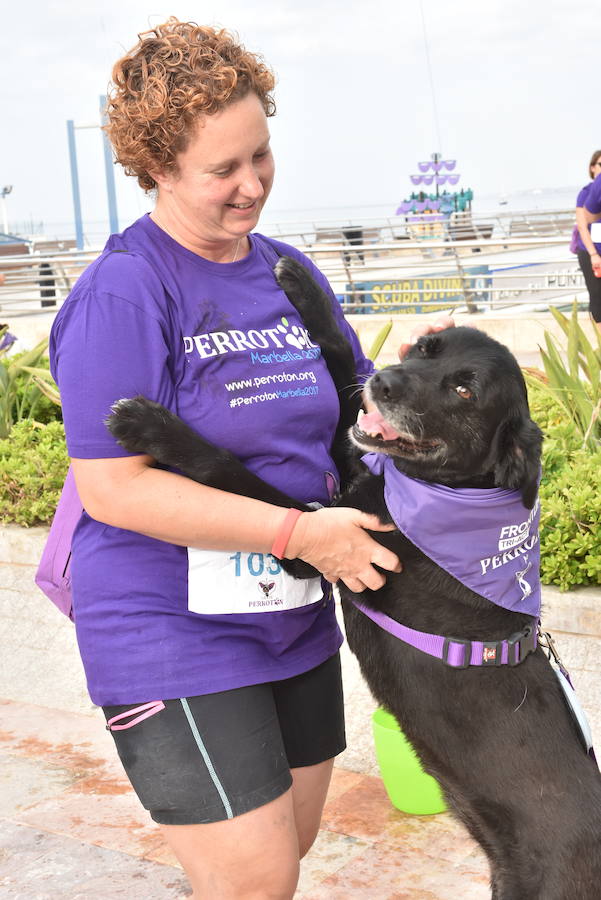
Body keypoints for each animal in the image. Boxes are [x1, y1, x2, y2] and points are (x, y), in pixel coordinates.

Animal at [108, 256, 600, 896]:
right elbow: (342, 366)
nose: (385, 381)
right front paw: (304, 287)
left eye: (464, 389)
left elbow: (236, 475)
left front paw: (152, 427)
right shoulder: (353, 465)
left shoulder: (329, 541)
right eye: (423, 350)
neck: (455, 490)